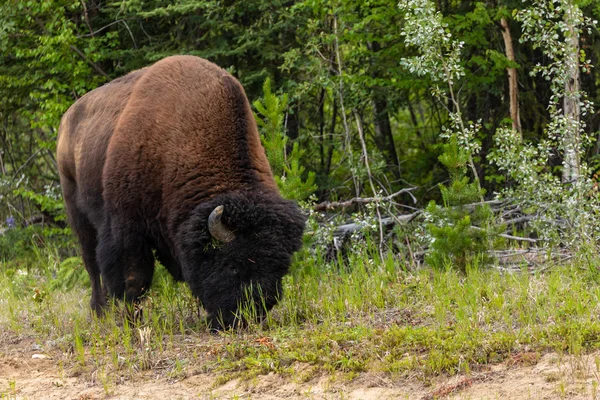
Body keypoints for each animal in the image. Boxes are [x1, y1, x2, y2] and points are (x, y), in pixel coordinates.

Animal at [57, 54, 304, 330]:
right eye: (233, 265)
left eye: (280, 266)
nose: (251, 313)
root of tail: (67, 118)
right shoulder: (127, 226)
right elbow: (134, 278)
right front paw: (134, 321)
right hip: (77, 210)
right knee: (91, 262)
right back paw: (100, 310)